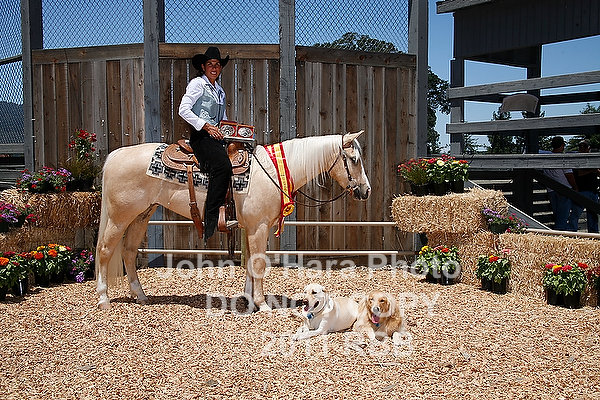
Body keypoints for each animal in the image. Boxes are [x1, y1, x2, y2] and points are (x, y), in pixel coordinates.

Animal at [95, 131, 371, 311]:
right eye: (354, 159)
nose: (365, 191)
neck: (272, 171)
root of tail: (116, 155)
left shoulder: (251, 228)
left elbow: (249, 264)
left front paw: (248, 299)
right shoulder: (259, 227)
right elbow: (258, 264)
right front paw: (261, 304)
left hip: (142, 215)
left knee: (128, 252)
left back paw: (141, 296)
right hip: (120, 217)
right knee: (105, 251)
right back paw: (103, 299)